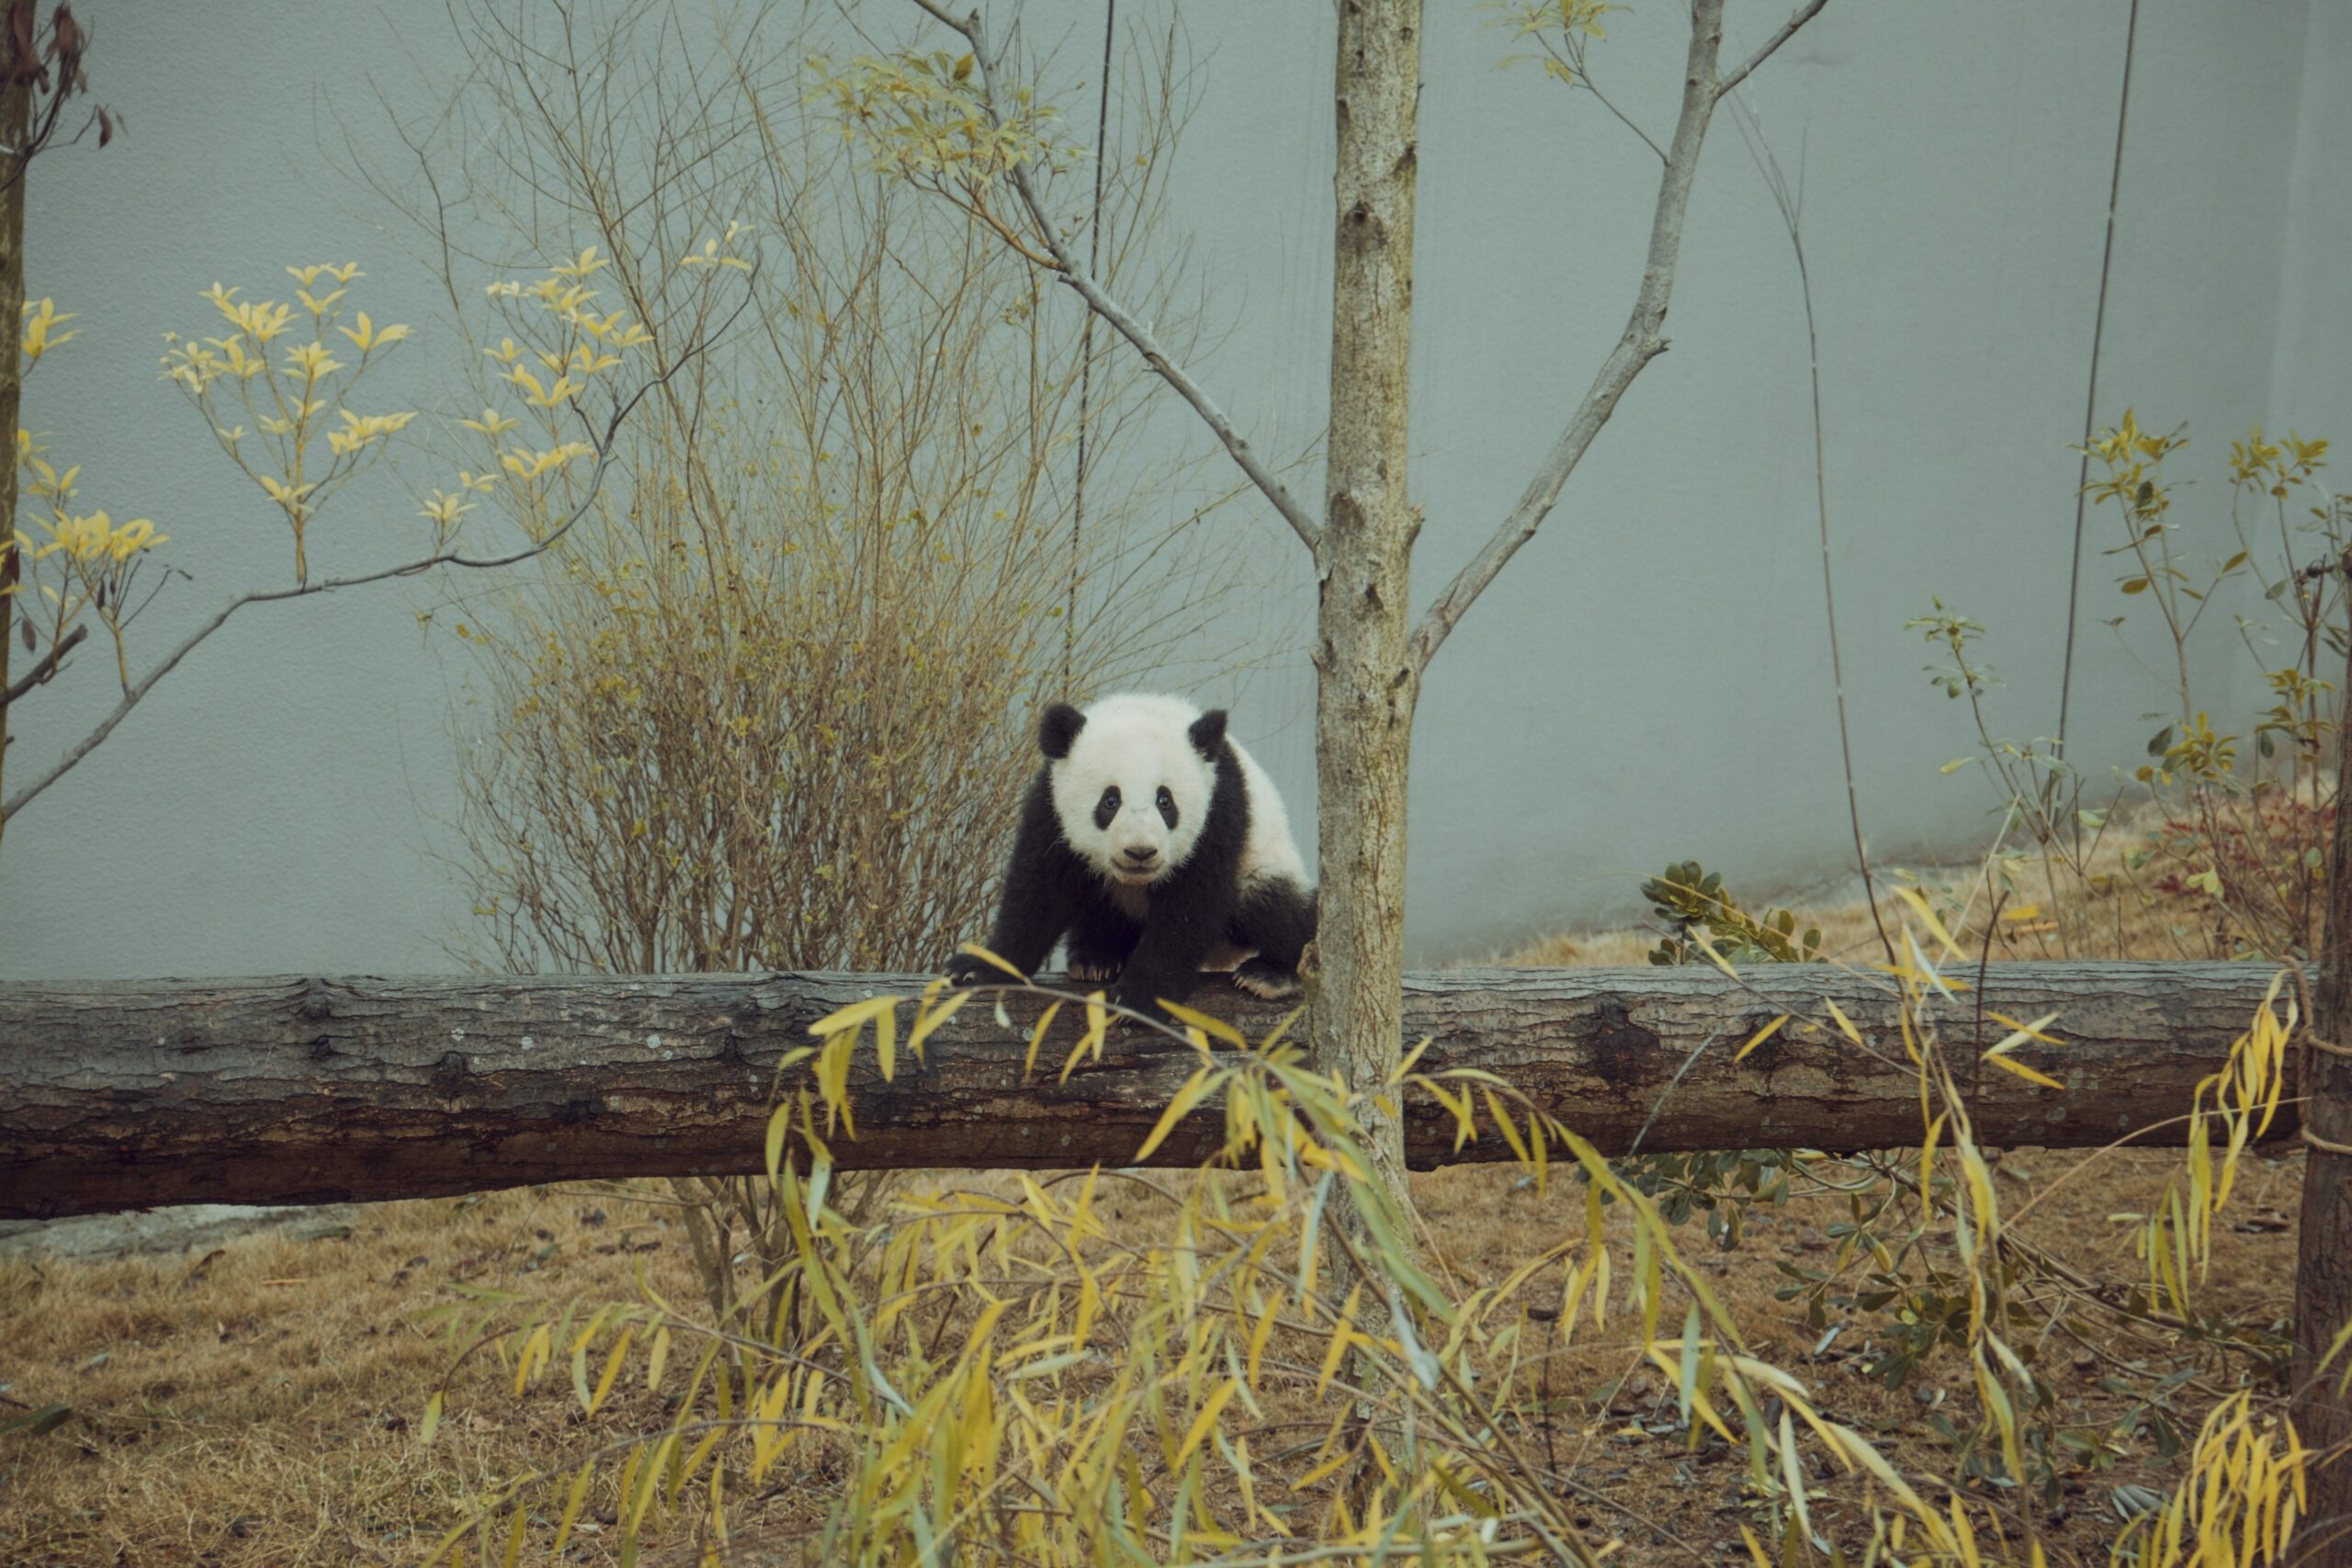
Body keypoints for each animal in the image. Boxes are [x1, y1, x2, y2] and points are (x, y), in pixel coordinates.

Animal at [945, 693, 1317, 1021]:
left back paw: (1270, 974)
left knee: (1276, 906)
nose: (1141, 852)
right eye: (1110, 800)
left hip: (1263, 860)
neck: (1144, 708)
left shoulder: (1218, 813)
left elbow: (1190, 905)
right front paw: (976, 970)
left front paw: (1140, 999)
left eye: (1165, 801)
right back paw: (1097, 957)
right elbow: (1038, 892)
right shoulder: (1051, 807)